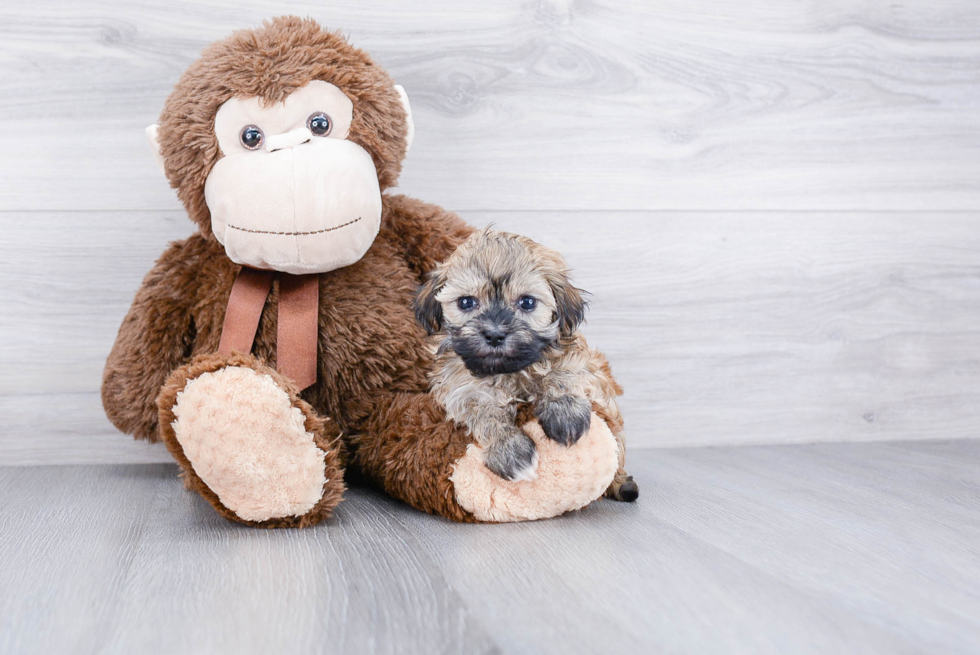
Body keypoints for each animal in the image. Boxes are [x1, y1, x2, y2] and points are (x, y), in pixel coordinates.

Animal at [412, 228, 636, 500]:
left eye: (527, 302)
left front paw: (564, 413)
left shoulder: (589, 364)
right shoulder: (460, 390)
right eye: (466, 302)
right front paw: (509, 450)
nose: (495, 334)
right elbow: (483, 411)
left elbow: (564, 371)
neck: (509, 372)